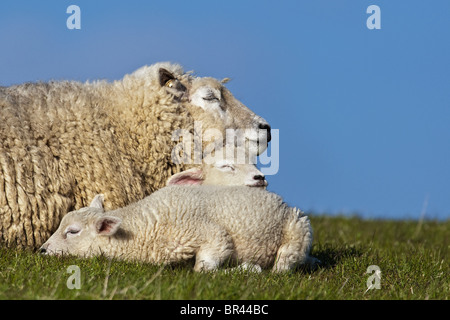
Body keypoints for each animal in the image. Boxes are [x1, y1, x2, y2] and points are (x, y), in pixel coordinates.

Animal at [41, 188, 316, 272]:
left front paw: (246, 270)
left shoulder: (209, 233)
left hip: (297, 225)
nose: (42, 251)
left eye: (72, 232)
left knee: (287, 260)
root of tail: (280, 201)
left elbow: (204, 268)